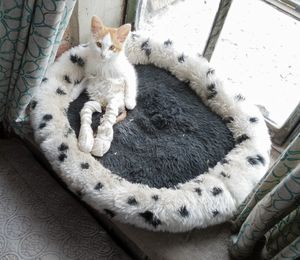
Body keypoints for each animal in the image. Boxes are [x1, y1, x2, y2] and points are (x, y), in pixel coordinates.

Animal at [72, 16, 138, 158]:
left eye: (112, 47)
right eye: (99, 44)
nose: (102, 55)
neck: (104, 65)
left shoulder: (128, 70)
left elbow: (131, 83)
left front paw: (130, 101)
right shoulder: (91, 72)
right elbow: (84, 80)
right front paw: (74, 91)